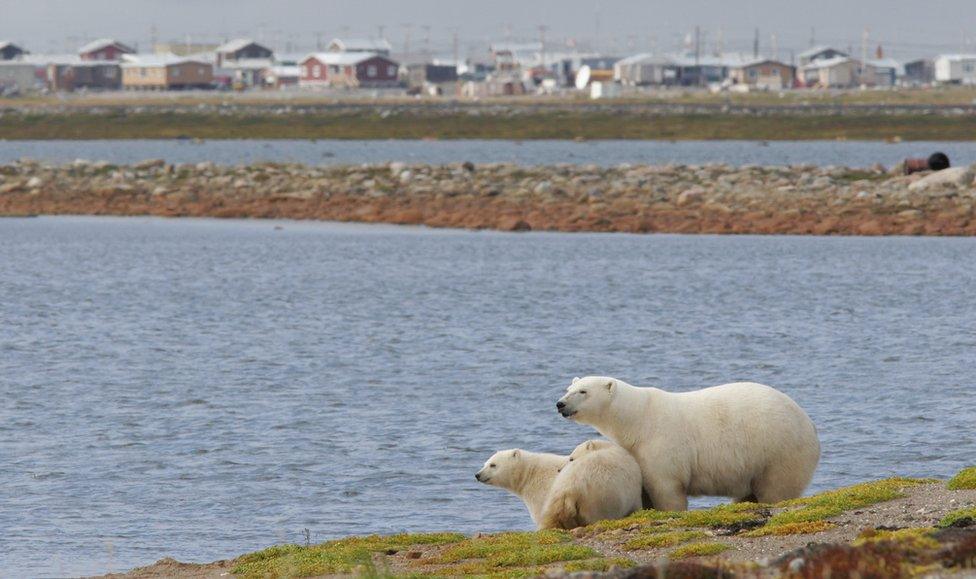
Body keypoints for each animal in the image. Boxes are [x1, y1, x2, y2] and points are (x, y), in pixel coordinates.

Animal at [552, 378, 820, 510]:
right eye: (569, 387)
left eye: (583, 391)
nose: (560, 404)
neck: (637, 418)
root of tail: (809, 424)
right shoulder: (636, 450)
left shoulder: (660, 444)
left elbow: (666, 488)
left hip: (777, 450)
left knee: (777, 488)